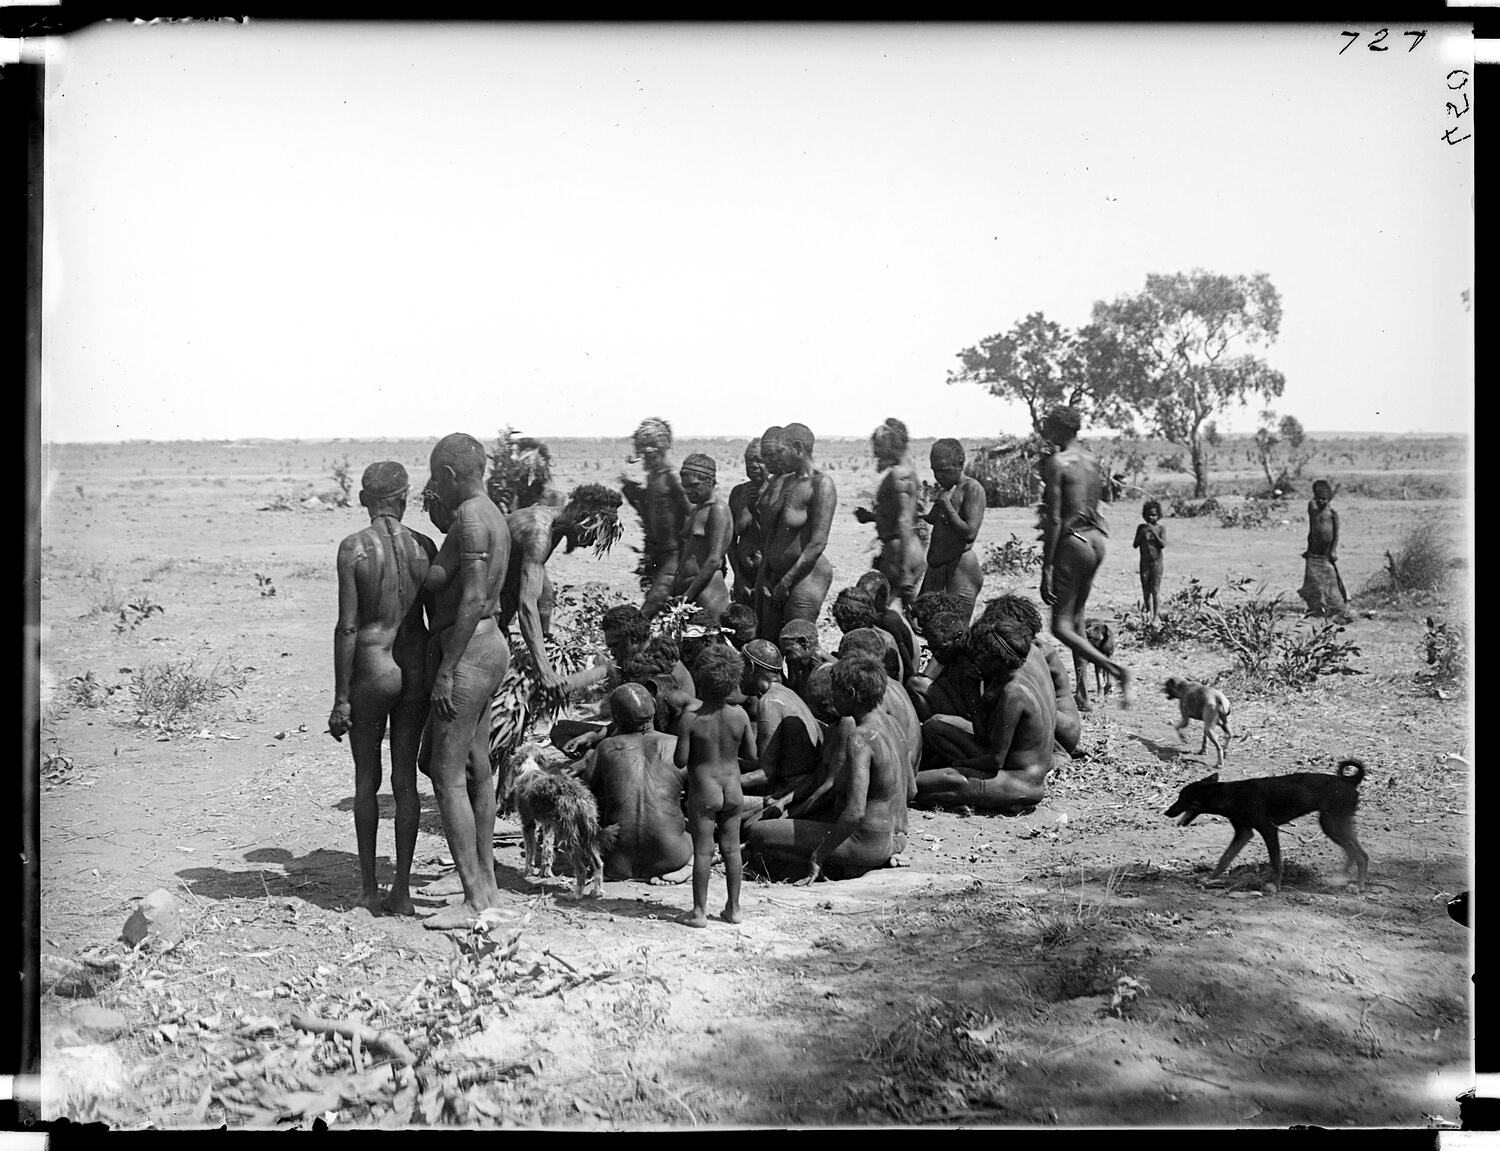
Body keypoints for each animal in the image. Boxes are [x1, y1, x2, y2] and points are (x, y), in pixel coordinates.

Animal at [510, 744, 603, 906]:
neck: (530, 768)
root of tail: (579, 797)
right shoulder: (548, 825)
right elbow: (547, 850)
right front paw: (545, 872)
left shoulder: (527, 823)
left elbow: (529, 852)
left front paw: (526, 871)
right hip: (587, 835)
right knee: (598, 863)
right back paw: (597, 892)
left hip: (567, 839)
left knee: (581, 870)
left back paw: (576, 895)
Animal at [1158, 762, 1374, 894]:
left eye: (1182, 797)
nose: (1167, 812)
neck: (1230, 794)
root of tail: (1349, 781)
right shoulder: (1243, 834)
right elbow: (1224, 859)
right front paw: (1209, 878)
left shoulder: (1268, 830)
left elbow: (1276, 862)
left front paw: (1275, 887)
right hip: (1339, 823)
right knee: (1359, 853)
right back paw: (1343, 879)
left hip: (1331, 824)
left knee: (1358, 854)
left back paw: (1359, 886)